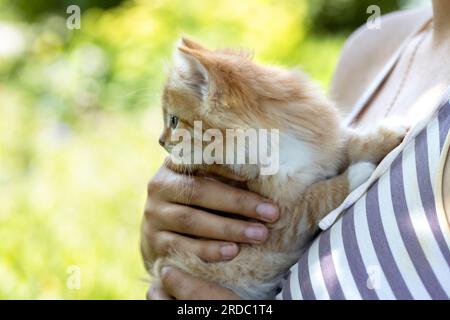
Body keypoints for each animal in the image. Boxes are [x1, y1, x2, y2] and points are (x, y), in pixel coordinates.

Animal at [147, 37, 404, 300]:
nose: (160, 141)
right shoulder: (277, 225)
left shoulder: (324, 146)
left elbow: (352, 145)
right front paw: (358, 173)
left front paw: (389, 133)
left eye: (173, 121)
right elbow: (316, 198)